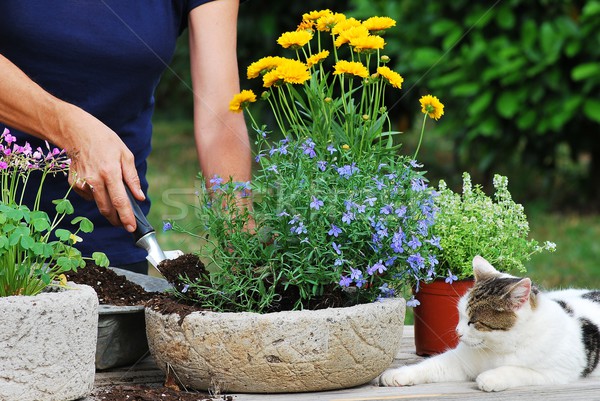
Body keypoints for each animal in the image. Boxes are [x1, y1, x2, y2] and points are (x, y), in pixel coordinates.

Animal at [378, 256, 600, 390]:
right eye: (460, 315)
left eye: (474, 321)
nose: (457, 332)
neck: (499, 348)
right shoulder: (458, 362)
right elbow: (429, 365)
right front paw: (399, 374)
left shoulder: (556, 374)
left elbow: (518, 370)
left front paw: (490, 377)